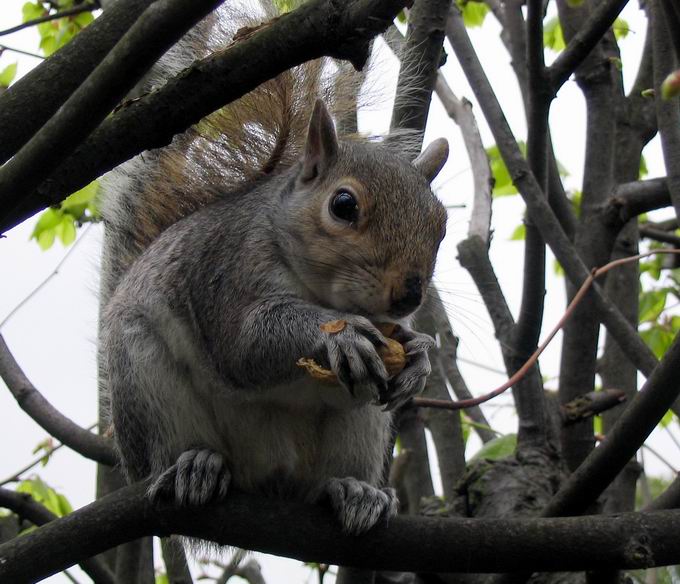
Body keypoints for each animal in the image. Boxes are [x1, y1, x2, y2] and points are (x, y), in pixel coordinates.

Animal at [98, 2, 448, 536]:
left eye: (441, 224)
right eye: (343, 205)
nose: (408, 295)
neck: (322, 292)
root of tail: (272, 478)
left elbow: (401, 340)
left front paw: (420, 352)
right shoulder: (229, 268)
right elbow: (246, 343)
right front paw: (341, 335)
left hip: (361, 425)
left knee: (333, 473)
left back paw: (357, 491)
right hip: (145, 380)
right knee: (170, 447)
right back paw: (191, 466)